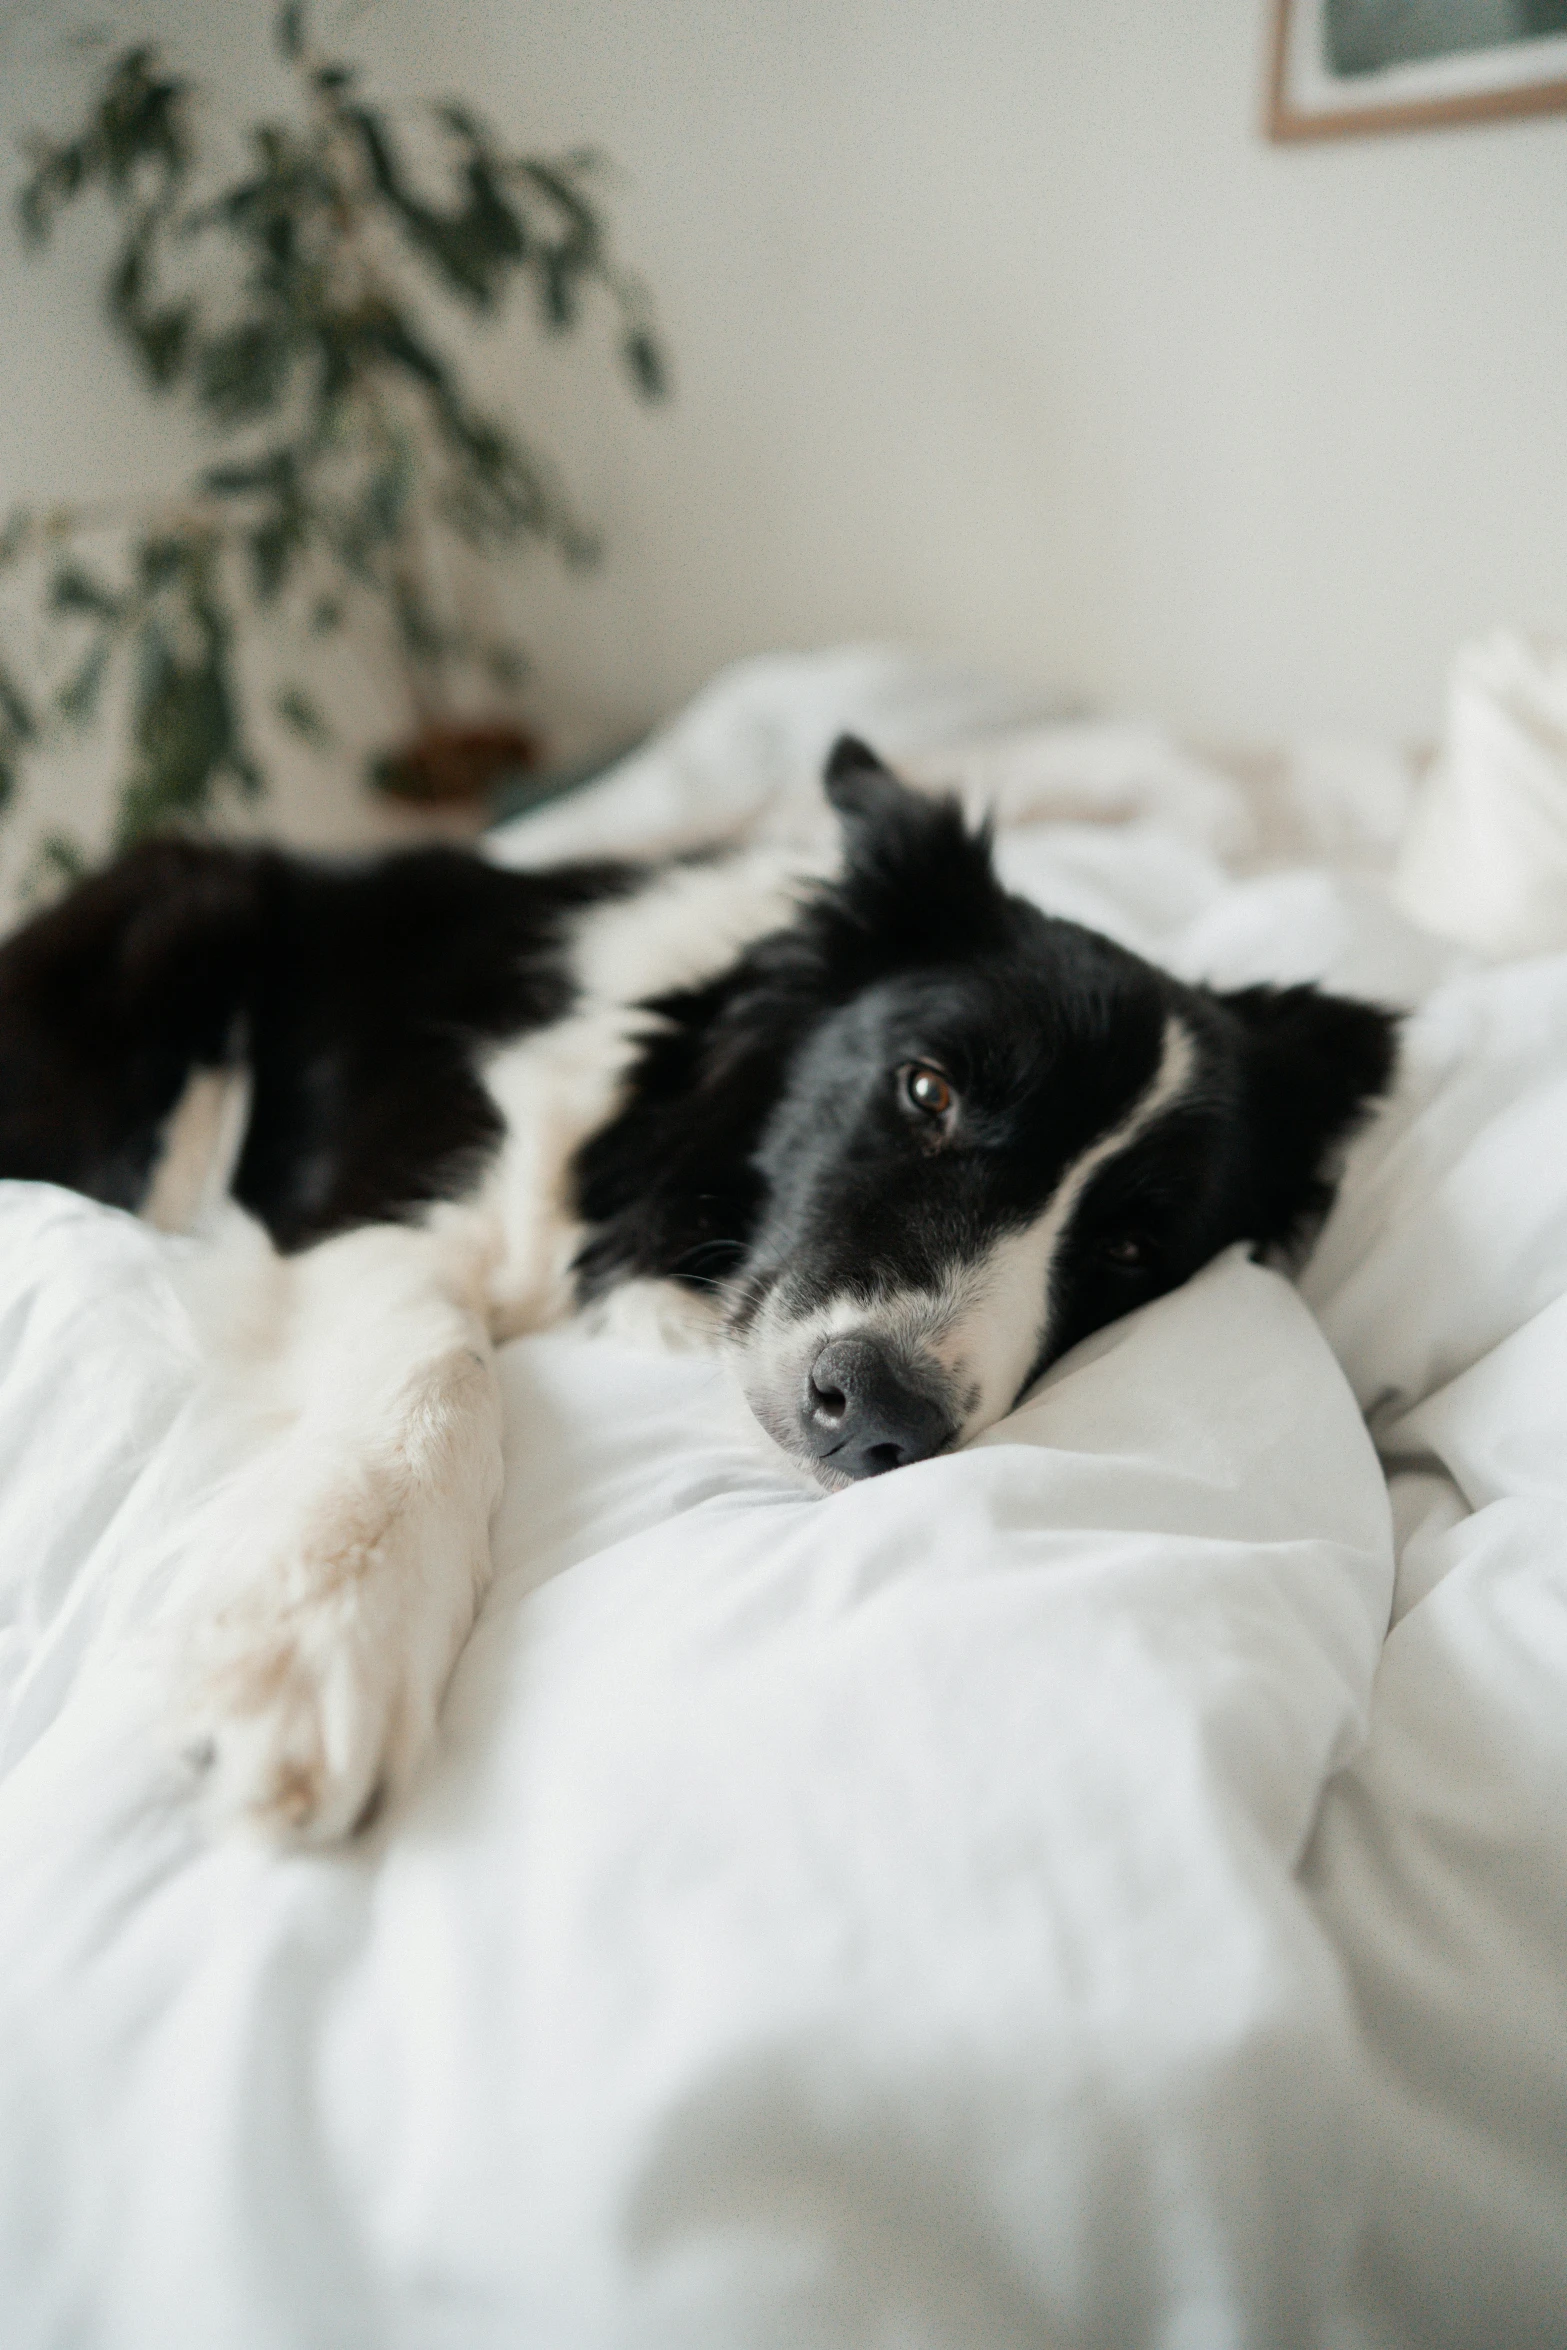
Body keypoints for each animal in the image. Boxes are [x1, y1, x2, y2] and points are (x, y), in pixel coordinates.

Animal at [0, 733, 1400, 1832]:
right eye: (927, 1088)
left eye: (1128, 1253)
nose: (879, 1411)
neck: (658, 1141)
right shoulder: (363, 1212)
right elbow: (438, 1370)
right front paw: (323, 1638)